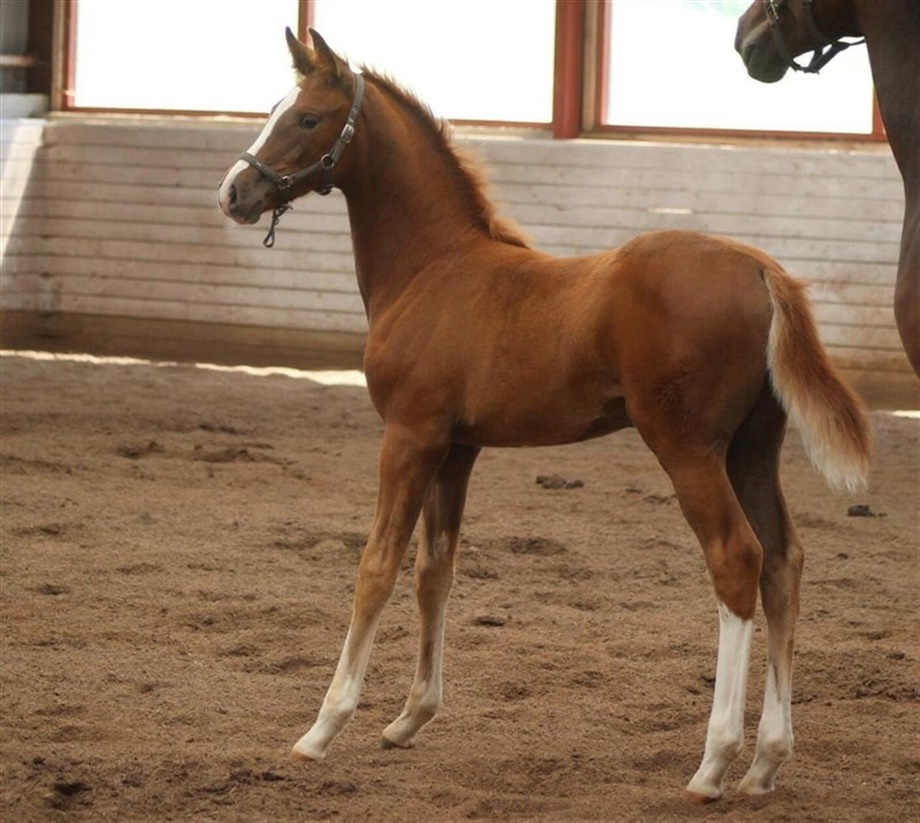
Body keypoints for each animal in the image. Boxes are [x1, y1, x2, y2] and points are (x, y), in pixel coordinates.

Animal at [218, 29, 871, 803]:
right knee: (783, 561)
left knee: (736, 558)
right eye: (274, 109)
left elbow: (376, 567)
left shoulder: (408, 436)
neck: (433, 268)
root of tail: (761, 268)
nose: (234, 192)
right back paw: (767, 760)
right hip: (752, 449)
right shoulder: (457, 448)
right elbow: (435, 569)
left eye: (308, 118)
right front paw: (410, 718)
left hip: (687, 448)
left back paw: (713, 764)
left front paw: (322, 728)